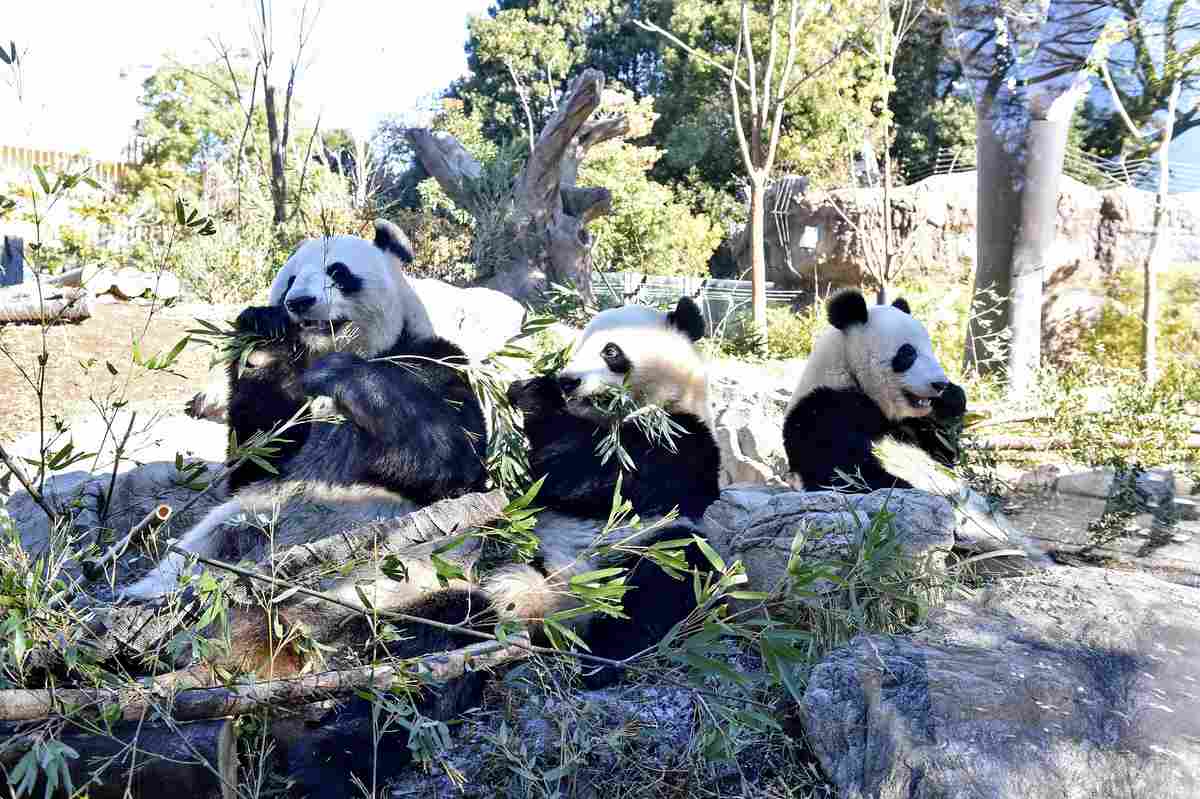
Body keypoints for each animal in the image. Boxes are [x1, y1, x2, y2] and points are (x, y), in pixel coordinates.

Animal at [123, 220, 488, 600]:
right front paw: (265, 337)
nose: (298, 302)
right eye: (290, 280)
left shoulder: (434, 363)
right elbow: (256, 458)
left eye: (338, 271)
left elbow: (449, 458)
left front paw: (339, 372)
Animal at [491, 297, 722, 686]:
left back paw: (603, 661)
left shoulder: (683, 439)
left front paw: (537, 393)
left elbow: (593, 473)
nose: (567, 381)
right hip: (524, 554)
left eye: (610, 351)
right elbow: (547, 483)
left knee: (662, 586)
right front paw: (526, 388)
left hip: (652, 548)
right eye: (573, 350)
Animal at [782, 288, 968, 493]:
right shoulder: (824, 406)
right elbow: (841, 469)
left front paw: (951, 400)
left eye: (931, 349)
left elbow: (942, 450)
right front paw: (900, 485)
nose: (939, 384)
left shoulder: (906, 421)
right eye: (908, 353)